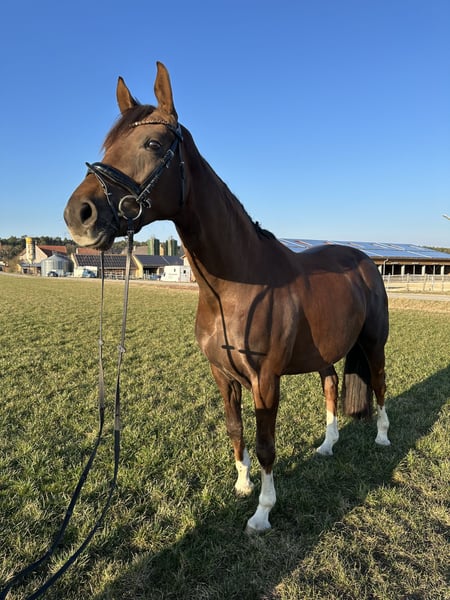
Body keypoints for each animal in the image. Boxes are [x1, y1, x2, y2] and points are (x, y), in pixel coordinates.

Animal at [64, 62, 390, 533]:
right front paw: (241, 485)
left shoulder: (265, 381)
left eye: (152, 143)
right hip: (325, 352)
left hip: (373, 343)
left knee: (380, 384)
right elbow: (236, 429)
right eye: (107, 145)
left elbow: (266, 442)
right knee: (331, 385)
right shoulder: (222, 375)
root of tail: (365, 261)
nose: (79, 215)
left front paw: (262, 512)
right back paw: (327, 446)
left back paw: (383, 436)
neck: (236, 289)